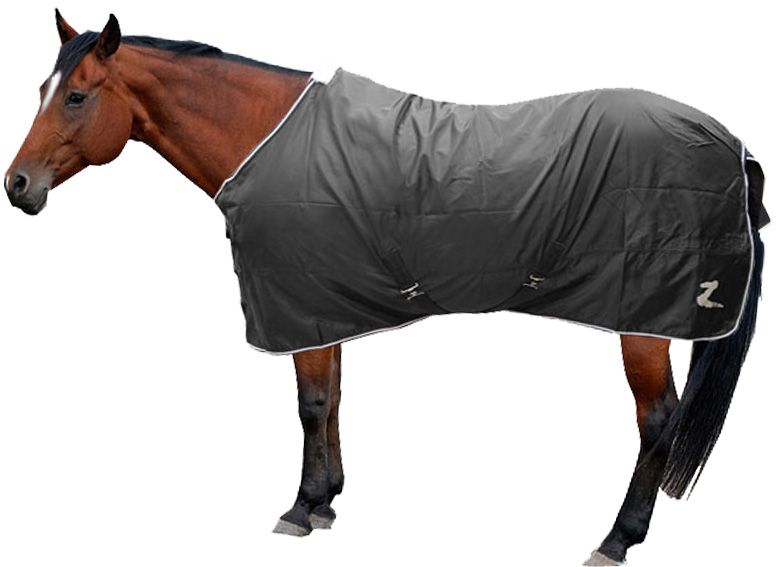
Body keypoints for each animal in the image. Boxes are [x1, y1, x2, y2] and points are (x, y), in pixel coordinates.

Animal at [4, 12, 766, 566]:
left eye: (76, 96)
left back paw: (616, 539)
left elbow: (310, 405)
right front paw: (328, 500)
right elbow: (335, 397)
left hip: (643, 322)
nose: (17, 185)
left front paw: (300, 507)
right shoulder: (323, 303)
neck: (271, 142)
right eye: (40, 91)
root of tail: (729, 144)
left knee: (657, 421)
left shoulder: (296, 304)